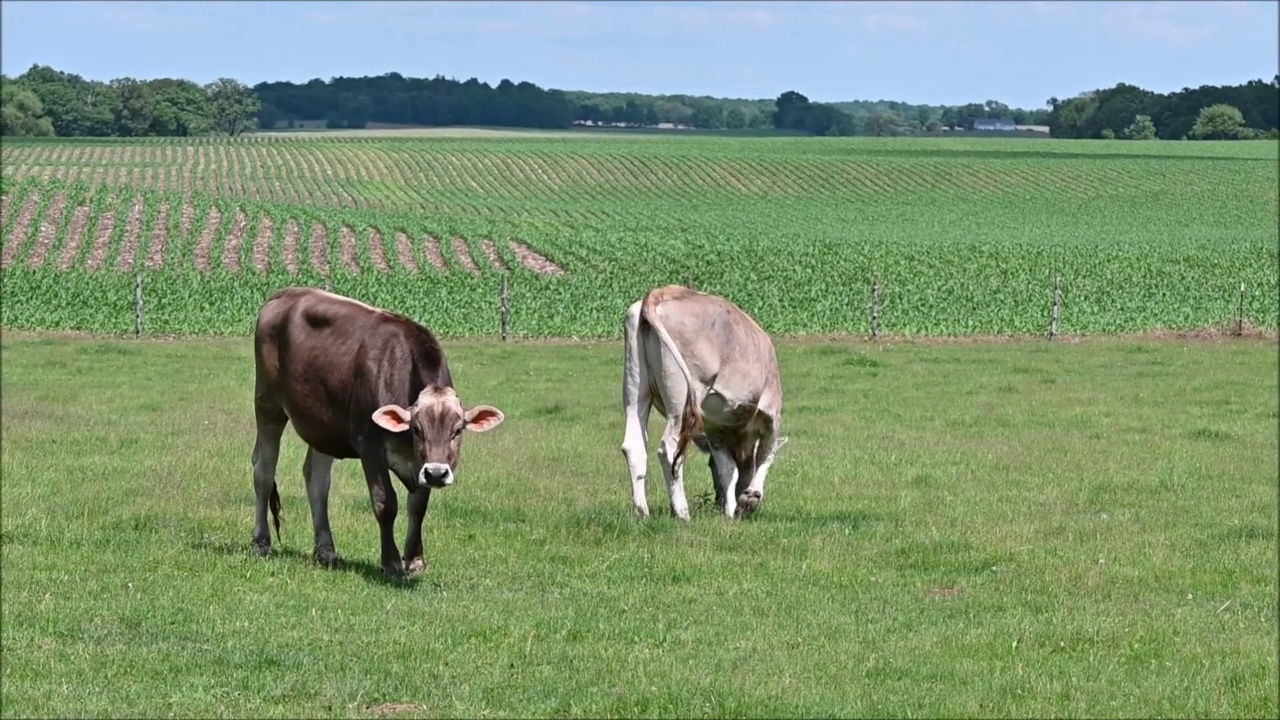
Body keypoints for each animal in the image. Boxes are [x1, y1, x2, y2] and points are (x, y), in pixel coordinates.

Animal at [249, 285, 504, 576]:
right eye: (417, 429)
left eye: (458, 430)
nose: (438, 473)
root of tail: (284, 293)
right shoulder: (369, 446)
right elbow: (385, 502)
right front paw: (391, 562)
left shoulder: (420, 462)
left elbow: (418, 506)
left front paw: (415, 559)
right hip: (267, 403)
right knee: (264, 470)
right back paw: (261, 542)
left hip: (322, 425)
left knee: (317, 479)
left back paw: (326, 550)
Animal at [622, 283, 788, 517]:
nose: (719, 501)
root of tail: (664, 291)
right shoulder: (772, 415)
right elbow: (766, 456)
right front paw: (749, 498)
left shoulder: (715, 430)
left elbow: (727, 469)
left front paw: (730, 509)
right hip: (683, 396)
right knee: (669, 449)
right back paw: (682, 512)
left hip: (635, 385)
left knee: (633, 444)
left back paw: (641, 511)